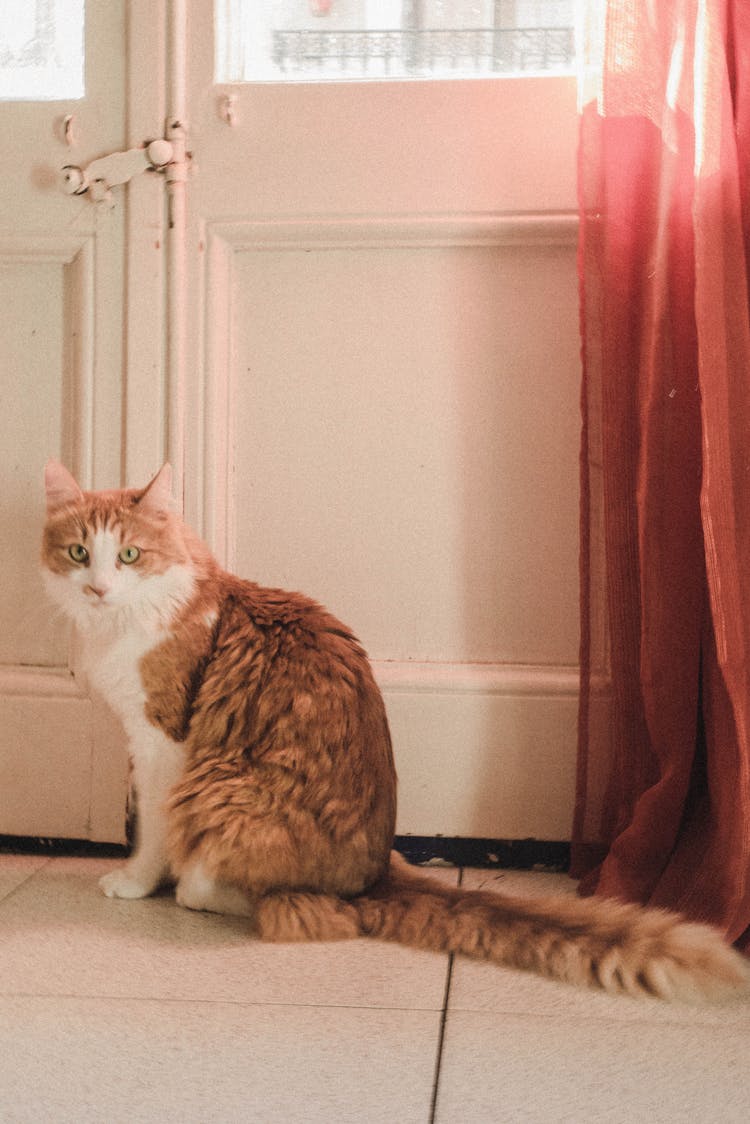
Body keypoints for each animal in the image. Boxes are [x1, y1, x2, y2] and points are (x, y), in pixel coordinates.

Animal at [41, 460, 750, 1007]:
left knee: (299, 908)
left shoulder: (162, 740)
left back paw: (199, 889)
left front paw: (135, 882)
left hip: (222, 790)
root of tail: (375, 873)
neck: (126, 621)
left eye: (129, 555)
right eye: (79, 554)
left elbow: (152, 830)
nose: (98, 587)